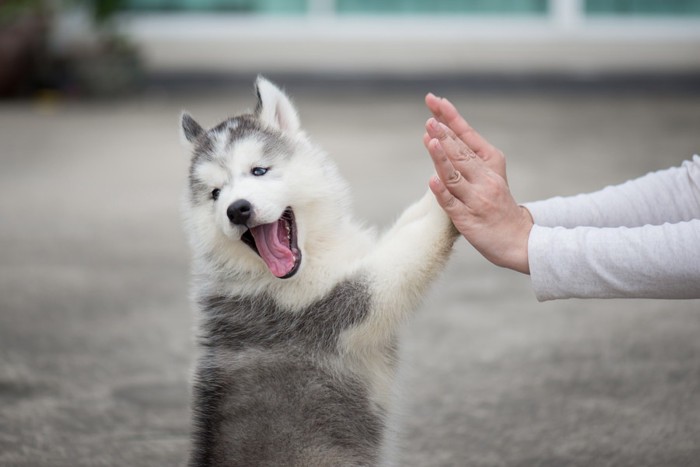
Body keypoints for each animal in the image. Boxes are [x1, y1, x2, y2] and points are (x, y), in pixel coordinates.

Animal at [180, 78, 460, 466]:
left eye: (259, 171)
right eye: (215, 194)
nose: (236, 209)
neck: (315, 254)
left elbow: (406, 225)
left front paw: (448, 174)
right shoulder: (337, 304)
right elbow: (409, 251)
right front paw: (459, 196)